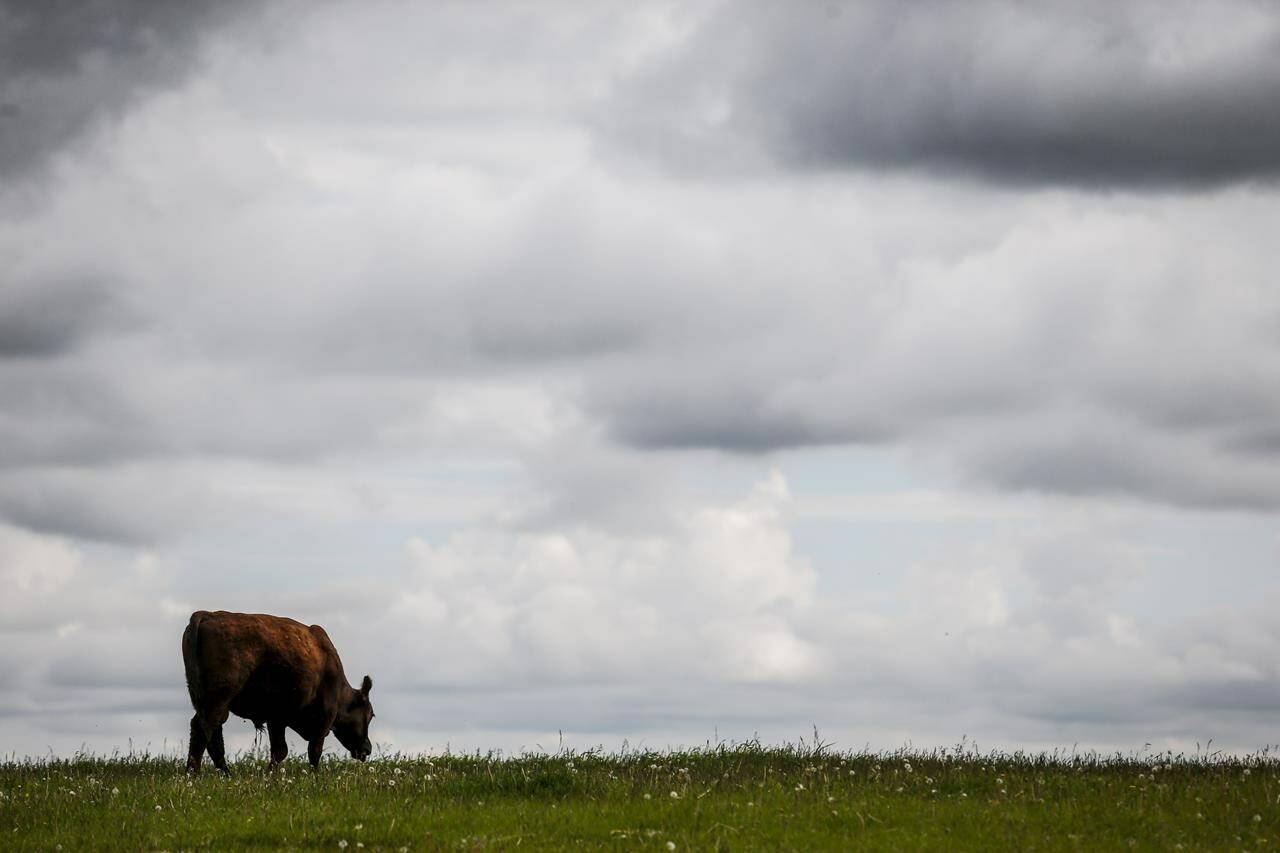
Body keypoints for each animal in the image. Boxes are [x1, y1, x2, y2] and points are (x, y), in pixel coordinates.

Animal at [184, 604, 373, 768]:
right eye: (370, 714)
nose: (368, 748)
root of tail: (207, 615)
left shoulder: (276, 718)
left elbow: (279, 750)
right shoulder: (323, 720)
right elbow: (313, 752)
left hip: (207, 700)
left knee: (211, 736)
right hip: (218, 699)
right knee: (204, 731)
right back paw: (194, 774)